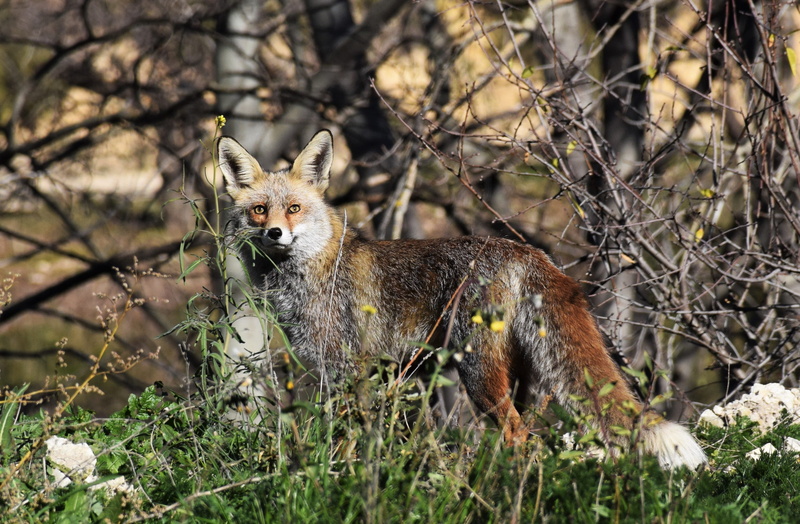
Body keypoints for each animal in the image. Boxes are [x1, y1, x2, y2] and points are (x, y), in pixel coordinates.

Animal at [216, 129, 707, 470]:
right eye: (259, 210)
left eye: (294, 209)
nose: (275, 233)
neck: (313, 271)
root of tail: (526, 250)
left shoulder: (345, 368)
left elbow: (345, 437)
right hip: (519, 375)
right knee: (528, 430)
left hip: (477, 372)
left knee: (517, 434)